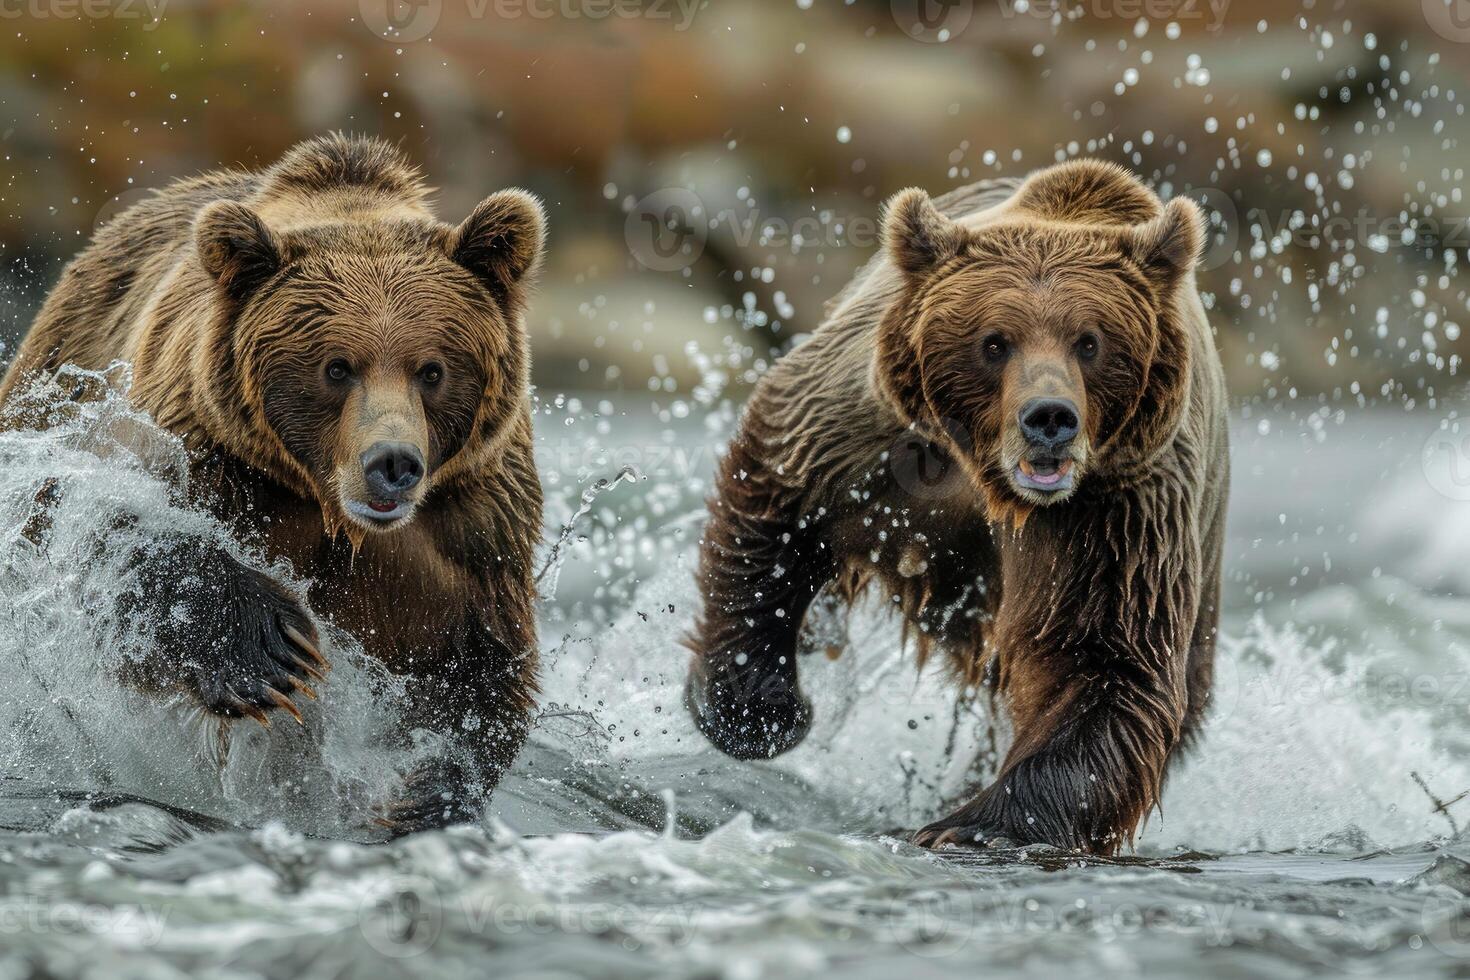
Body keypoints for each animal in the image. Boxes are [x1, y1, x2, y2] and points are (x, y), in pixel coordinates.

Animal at [0, 132, 546, 834]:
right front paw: (271, 650)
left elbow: (478, 660)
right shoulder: (199, 448)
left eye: (432, 369)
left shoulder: (469, 524)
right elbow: (107, 536)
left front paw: (427, 789)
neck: (323, 502)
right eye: (337, 367)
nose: (393, 462)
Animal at [685, 159, 1228, 852]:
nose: (1049, 419)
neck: (991, 480)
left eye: (1090, 342)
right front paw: (761, 710)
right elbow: (777, 507)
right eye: (995, 342)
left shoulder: (1118, 512)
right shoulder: (870, 432)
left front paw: (971, 825)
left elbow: (1104, 660)